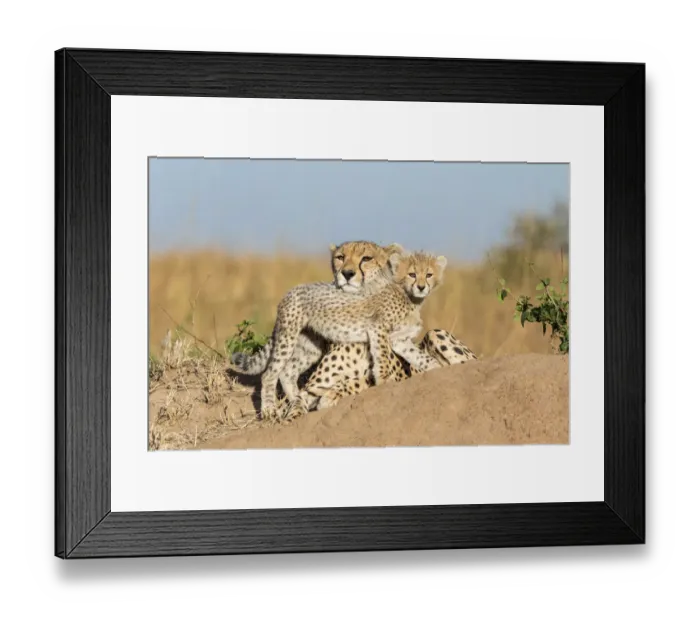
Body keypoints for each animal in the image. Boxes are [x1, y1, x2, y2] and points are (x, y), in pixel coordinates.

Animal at [257, 251, 448, 420]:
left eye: (429, 275)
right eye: (412, 274)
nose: (421, 287)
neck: (408, 297)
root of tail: (292, 290)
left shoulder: (399, 339)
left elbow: (417, 355)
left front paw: (435, 367)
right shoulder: (378, 328)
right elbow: (382, 358)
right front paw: (383, 382)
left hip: (309, 346)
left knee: (288, 372)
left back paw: (294, 399)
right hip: (288, 337)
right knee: (270, 374)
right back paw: (270, 409)